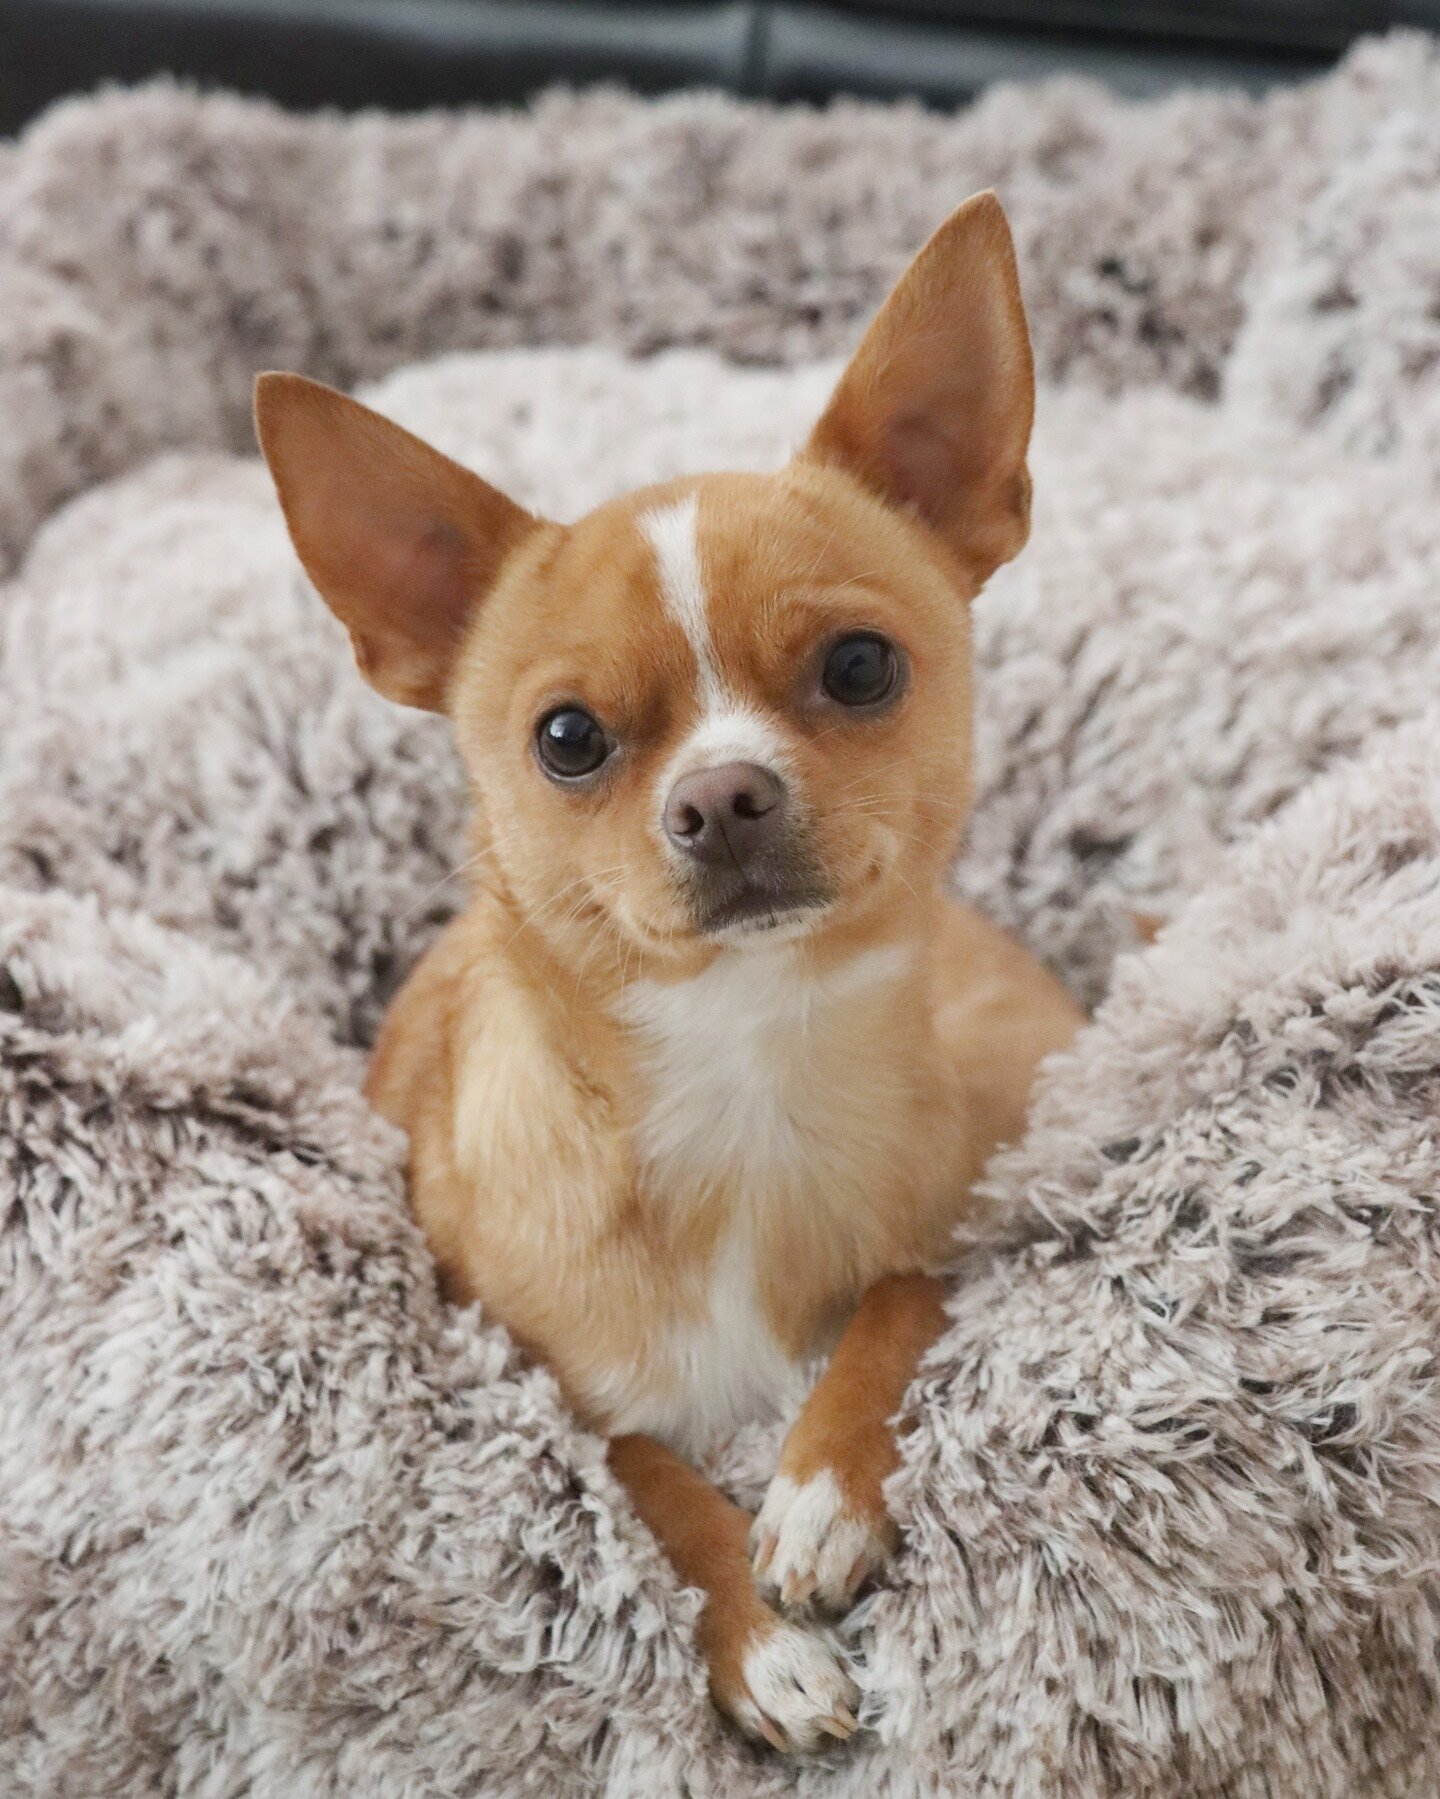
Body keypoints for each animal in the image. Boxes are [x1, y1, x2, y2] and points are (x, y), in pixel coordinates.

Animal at [253, 196, 1080, 1755]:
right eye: (568, 737)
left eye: (862, 666)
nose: (722, 795)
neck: (743, 1070)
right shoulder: (539, 1391)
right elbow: (651, 1486)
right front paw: (763, 1647)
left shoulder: (947, 1234)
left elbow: (901, 1298)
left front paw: (821, 1489)